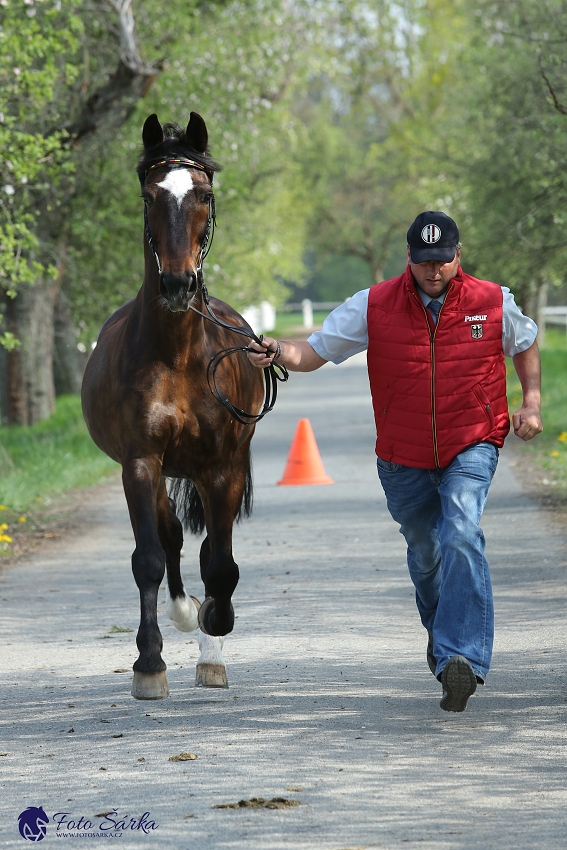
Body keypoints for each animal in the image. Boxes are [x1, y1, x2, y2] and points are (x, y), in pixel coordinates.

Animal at [81, 111, 268, 696]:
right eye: (149, 196)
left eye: (203, 194)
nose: (178, 283)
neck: (180, 355)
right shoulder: (141, 462)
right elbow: (149, 558)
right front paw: (149, 663)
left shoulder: (222, 467)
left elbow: (222, 567)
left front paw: (215, 630)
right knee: (170, 540)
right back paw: (185, 613)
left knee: (209, 552)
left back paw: (209, 644)